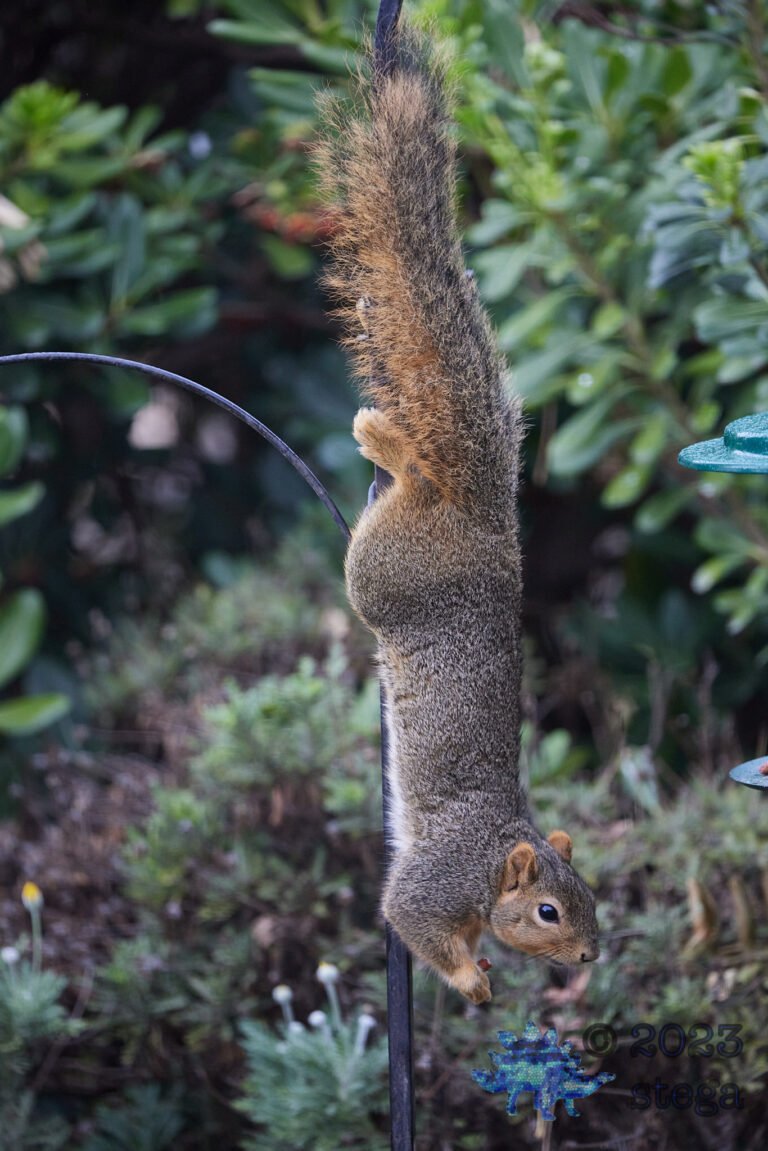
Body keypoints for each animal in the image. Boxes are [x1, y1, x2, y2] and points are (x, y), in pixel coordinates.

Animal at [315, 10, 599, 1004]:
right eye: (549, 911)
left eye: (590, 896)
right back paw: (391, 446)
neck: (491, 860)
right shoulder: (433, 880)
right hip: (384, 569)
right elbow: (407, 917)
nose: (590, 957)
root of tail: (485, 515)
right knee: (410, 492)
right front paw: (473, 980)